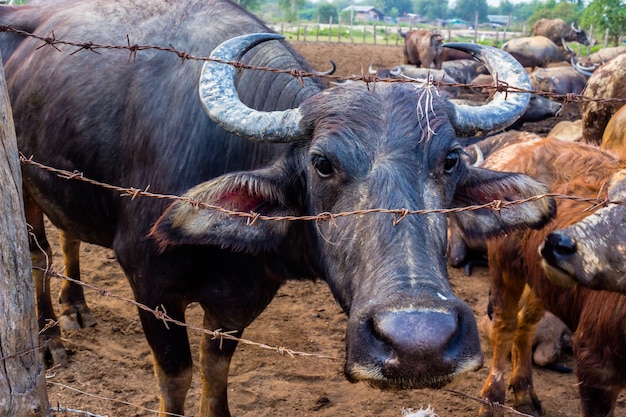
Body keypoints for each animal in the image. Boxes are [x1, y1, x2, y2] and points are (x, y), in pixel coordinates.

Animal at [1, 1, 556, 414]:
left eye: (450, 159)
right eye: (322, 163)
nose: (420, 343)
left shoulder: (242, 299)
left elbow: (215, 370)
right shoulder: (149, 284)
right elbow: (176, 376)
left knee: (68, 236)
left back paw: (77, 306)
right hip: (23, 181)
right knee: (35, 253)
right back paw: (49, 338)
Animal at [472, 138, 624, 416]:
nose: (559, 244)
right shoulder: (595, 365)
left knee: (526, 322)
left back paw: (524, 392)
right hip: (505, 264)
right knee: (505, 325)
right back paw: (491, 401)